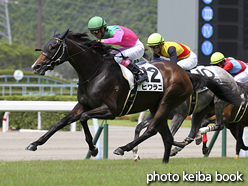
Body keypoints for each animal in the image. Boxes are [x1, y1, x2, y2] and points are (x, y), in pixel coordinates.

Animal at [27, 28, 242, 163]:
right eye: (45, 45)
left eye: (54, 47)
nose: (36, 67)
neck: (95, 71)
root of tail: (185, 74)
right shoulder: (83, 104)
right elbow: (61, 122)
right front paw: (34, 143)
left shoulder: (111, 110)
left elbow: (84, 118)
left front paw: (94, 149)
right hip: (158, 107)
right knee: (164, 135)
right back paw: (165, 160)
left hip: (168, 103)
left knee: (153, 130)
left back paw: (123, 148)